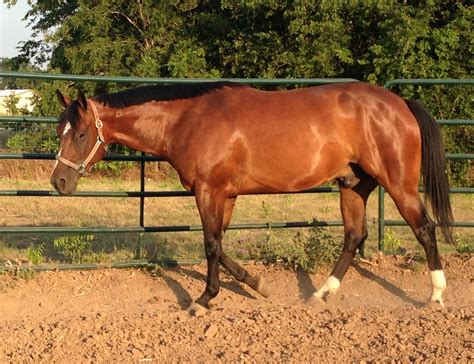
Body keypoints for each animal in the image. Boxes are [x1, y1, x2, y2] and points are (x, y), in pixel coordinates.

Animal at [50, 81, 454, 314]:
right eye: (60, 131)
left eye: (81, 133)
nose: (59, 181)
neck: (188, 120)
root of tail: (400, 103)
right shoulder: (225, 195)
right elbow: (220, 244)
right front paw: (257, 285)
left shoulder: (209, 191)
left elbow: (211, 245)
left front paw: (204, 299)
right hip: (353, 185)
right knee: (354, 236)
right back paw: (320, 294)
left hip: (398, 184)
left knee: (425, 228)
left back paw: (435, 296)